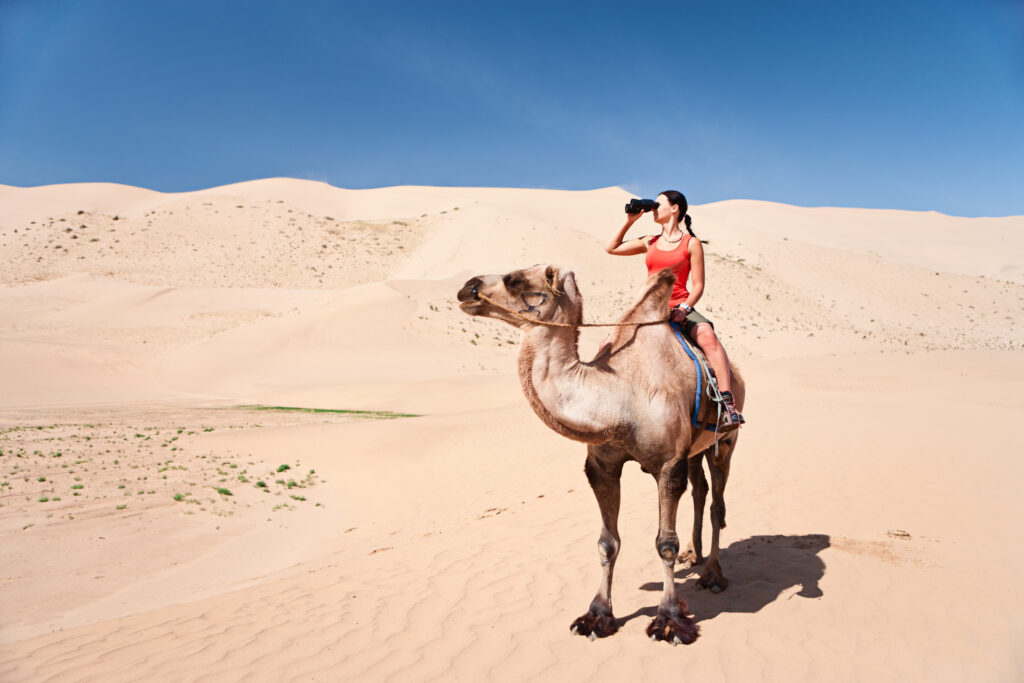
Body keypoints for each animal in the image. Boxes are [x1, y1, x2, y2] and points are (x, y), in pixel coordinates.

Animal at [456, 264, 745, 643]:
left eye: (514, 279)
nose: (467, 287)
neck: (620, 394)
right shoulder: (602, 466)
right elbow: (607, 542)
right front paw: (596, 616)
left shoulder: (669, 464)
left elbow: (665, 543)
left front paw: (669, 620)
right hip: (696, 449)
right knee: (701, 492)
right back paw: (693, 556)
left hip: (726, 441)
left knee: (717, 504)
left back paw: (713, 575)